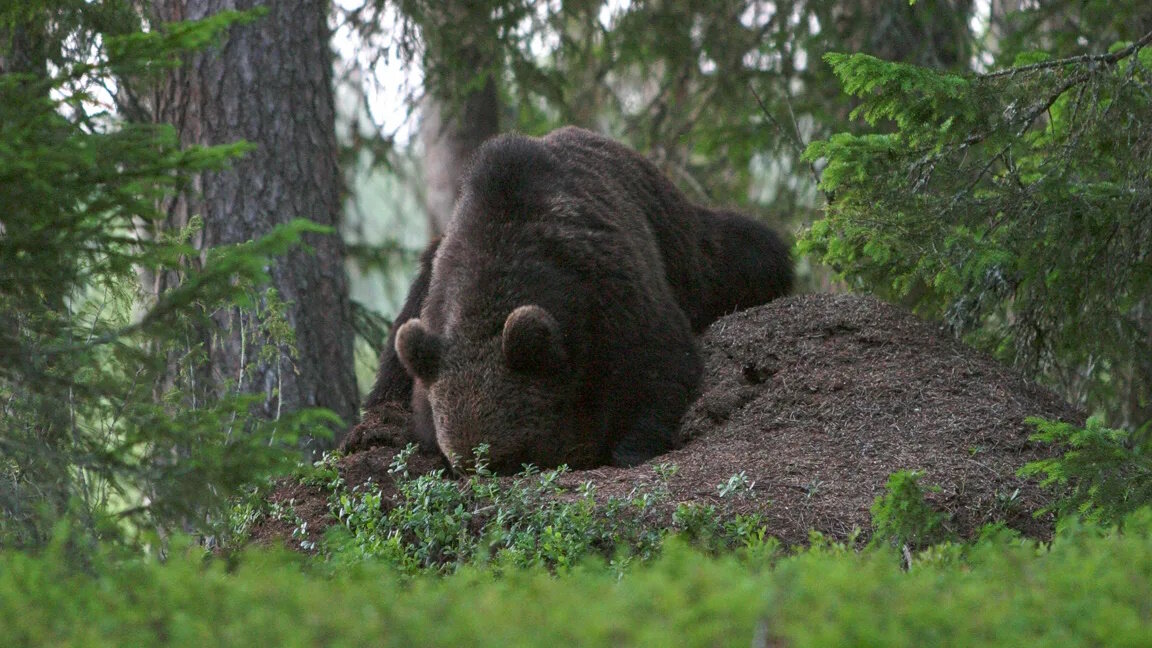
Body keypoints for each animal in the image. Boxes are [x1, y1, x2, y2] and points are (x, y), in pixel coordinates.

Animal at [359, 126, 792, 472]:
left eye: (510, 457)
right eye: (463, 465)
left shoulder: (611, 293)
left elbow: (660, 368)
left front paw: (628, 446)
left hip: (683, 246)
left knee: (741, 251)